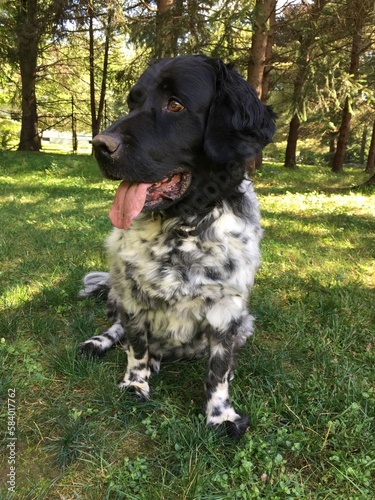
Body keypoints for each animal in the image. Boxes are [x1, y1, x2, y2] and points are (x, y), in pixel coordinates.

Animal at [79, 54, 276, 438]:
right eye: (133, 102)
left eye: (175, 105)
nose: (99, 145)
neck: (183, 229)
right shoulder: (133, 297)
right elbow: (136, 345)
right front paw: (135, 382)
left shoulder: (228, 309)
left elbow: (217, 369)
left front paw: (220, 414)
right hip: (115, 291)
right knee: (117, 329)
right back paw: (101, 343)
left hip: (246, 321)